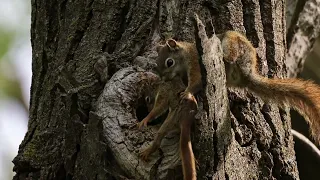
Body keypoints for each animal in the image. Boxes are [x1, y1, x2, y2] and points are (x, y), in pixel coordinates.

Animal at [156, 30, 320, 144]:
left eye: (169, 62)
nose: (163, 78)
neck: (185, 56)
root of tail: (247, 73)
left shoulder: (195, 64)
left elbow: (195, 82)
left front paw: (186, 92)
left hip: (233, 43)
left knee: (230, 55)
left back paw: (222, 56)